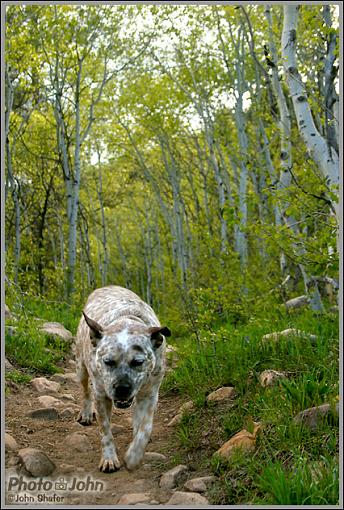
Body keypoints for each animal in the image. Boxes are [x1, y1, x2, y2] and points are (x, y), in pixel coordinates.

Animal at [76, 284, 171, 472]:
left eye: (138, 362)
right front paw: (109, 458)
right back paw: (86, 413)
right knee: (85, 391)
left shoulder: (151, 394)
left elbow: (145, 426)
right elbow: (105, 430)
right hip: (81, 368)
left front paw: (134, 454)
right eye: (108, 361)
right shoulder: (101, 395)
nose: (121, 389)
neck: (127, 320)